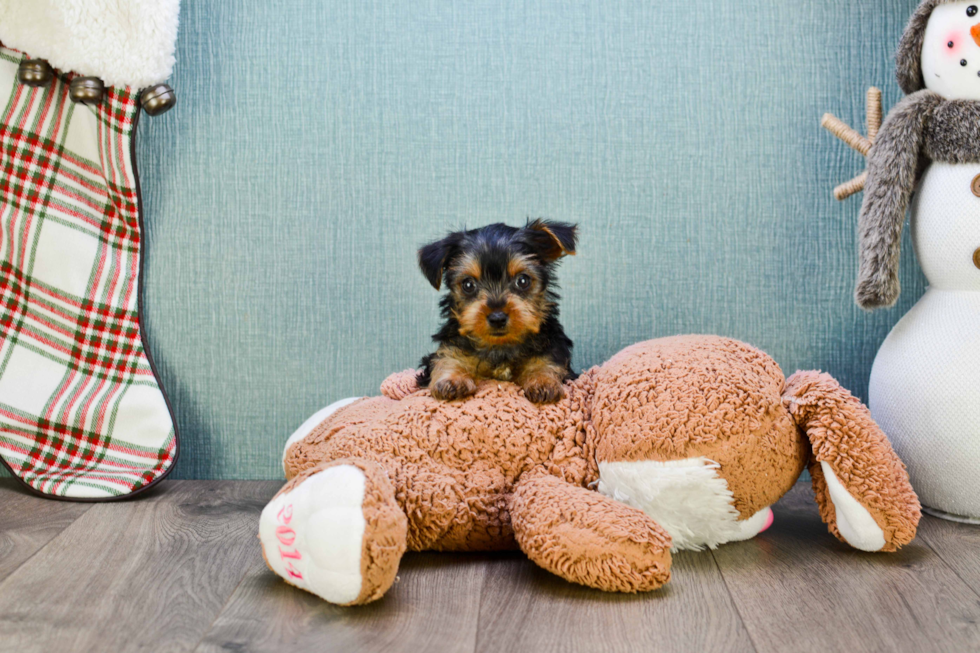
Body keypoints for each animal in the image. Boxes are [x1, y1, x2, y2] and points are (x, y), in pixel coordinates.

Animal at [418, 219, 580, 402]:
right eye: (468, 285)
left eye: (523, 281)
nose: (497, 318)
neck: (500, 346)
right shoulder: (452, 344)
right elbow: (447, 357)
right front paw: (452, 380)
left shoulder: (551, 345)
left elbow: (547, 359)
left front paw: (544, 380)